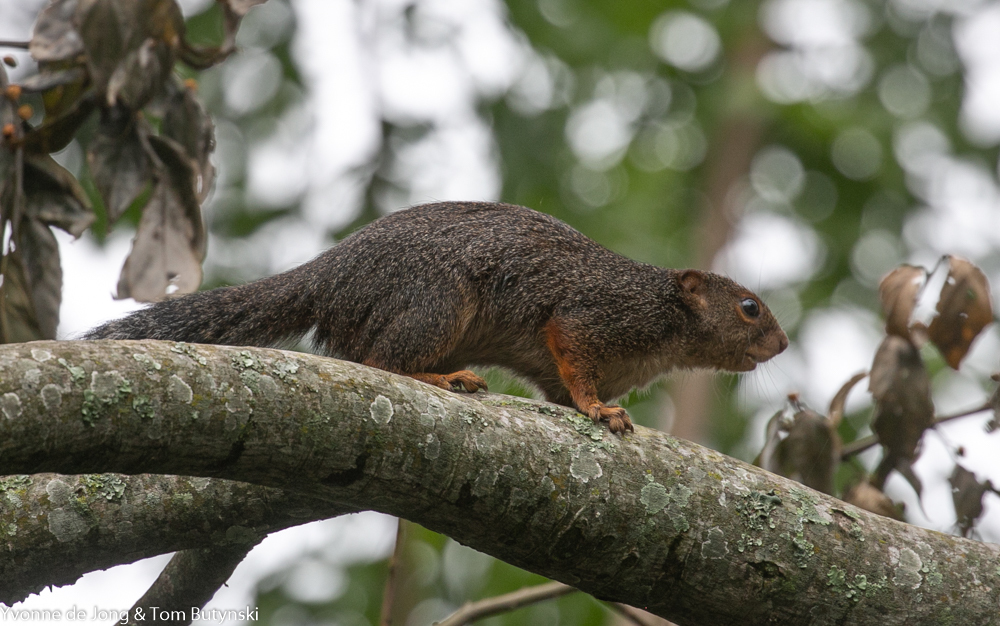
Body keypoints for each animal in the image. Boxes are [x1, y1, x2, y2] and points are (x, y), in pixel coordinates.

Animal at [87, 201, 788, 434]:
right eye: (749, 307)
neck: (667, 326)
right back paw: (443, 379)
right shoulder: (594, 315)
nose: (782, 344)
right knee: (380, 362)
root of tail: (332, 273)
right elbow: (572, 357)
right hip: (434, 302)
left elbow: (559, 387)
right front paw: (599, 410)